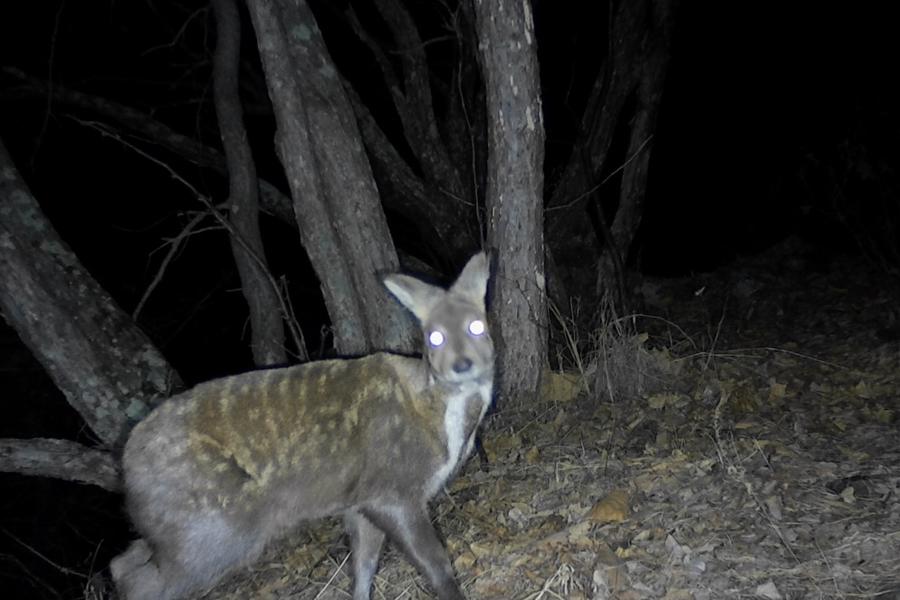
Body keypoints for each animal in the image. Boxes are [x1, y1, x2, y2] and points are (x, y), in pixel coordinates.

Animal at [112, 253, 496, 600]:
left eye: (477, 326)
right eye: (434, 337)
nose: (462, 364)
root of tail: (127, 464)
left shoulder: (359, 498)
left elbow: (364, 563)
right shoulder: (391, 487)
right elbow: (435, 563)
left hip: (179, 531)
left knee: (124, 562)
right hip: (212, 529)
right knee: (143, 582)